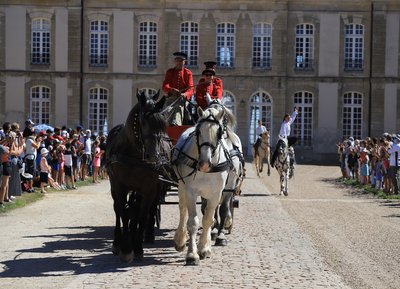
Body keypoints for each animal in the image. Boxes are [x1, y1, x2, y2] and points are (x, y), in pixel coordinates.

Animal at [104, 90, 167, 260]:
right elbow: (123, 213)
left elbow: (142, 215)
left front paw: (137, 246)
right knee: (118, 210)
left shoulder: (149, 188)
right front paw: (126, 249)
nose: (154, 157)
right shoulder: (119, 186)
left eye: (162, 124)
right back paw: (117, 241)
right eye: (143, 121)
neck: (135, 155)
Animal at [173, 106, 231, 264]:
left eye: (219, 133)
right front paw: (192, 254)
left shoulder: (216, 194)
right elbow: (193, 222)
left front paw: (204, 248)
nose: (205, 164)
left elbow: (208, 220)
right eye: (198, 132)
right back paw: (180, 239)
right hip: (181, 186)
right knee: (182, 210)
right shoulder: (191, 192)